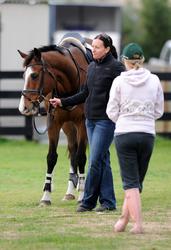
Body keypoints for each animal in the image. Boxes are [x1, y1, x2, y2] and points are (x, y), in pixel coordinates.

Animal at [18, 33, 91, 205]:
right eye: (23, 75)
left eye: (34, 75)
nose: (23, 107)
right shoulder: (54, 124)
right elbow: (52, 158)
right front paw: (46, 196)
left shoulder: (82, 124)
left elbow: (82, 157)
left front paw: (82, 195)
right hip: (68, 126)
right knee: (72, 150)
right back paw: (70, 191)